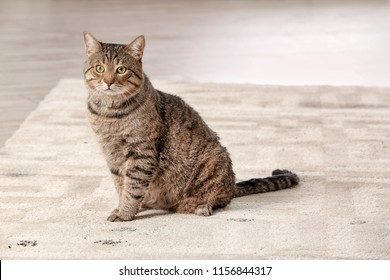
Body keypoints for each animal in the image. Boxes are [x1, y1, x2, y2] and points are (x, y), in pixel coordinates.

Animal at [84, 32, 300, 221]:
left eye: (121, 70)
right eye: (99, 68)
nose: (108, 82)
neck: (109, 114)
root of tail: (232, 185)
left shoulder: (141, 153)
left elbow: (132, 188)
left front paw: (124, 213)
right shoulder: (112, 155)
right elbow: (122, 186)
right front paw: (124, 207)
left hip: (215, 161)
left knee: (220, 200)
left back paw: (200, 206)